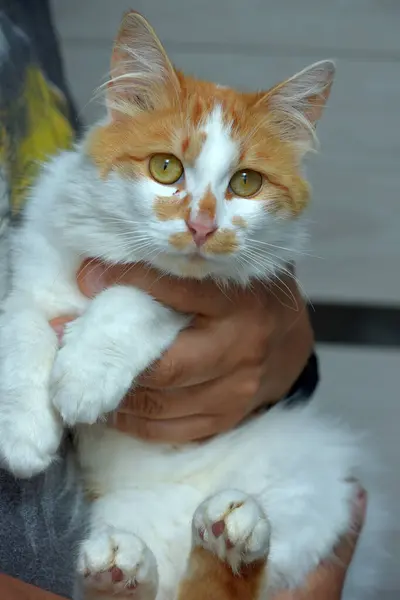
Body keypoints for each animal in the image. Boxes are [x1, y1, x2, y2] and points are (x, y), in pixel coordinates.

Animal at [0, 9, 382, 600]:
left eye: (246, 182)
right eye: (165, 168)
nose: (201, 226)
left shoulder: (191, 297)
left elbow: (133, 295)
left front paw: (83, 377)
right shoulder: (32, 276)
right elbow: (20, 331)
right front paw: (22, 431)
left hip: (309, 482)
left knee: (226, 583)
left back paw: (230, 533)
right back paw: (122, 569)